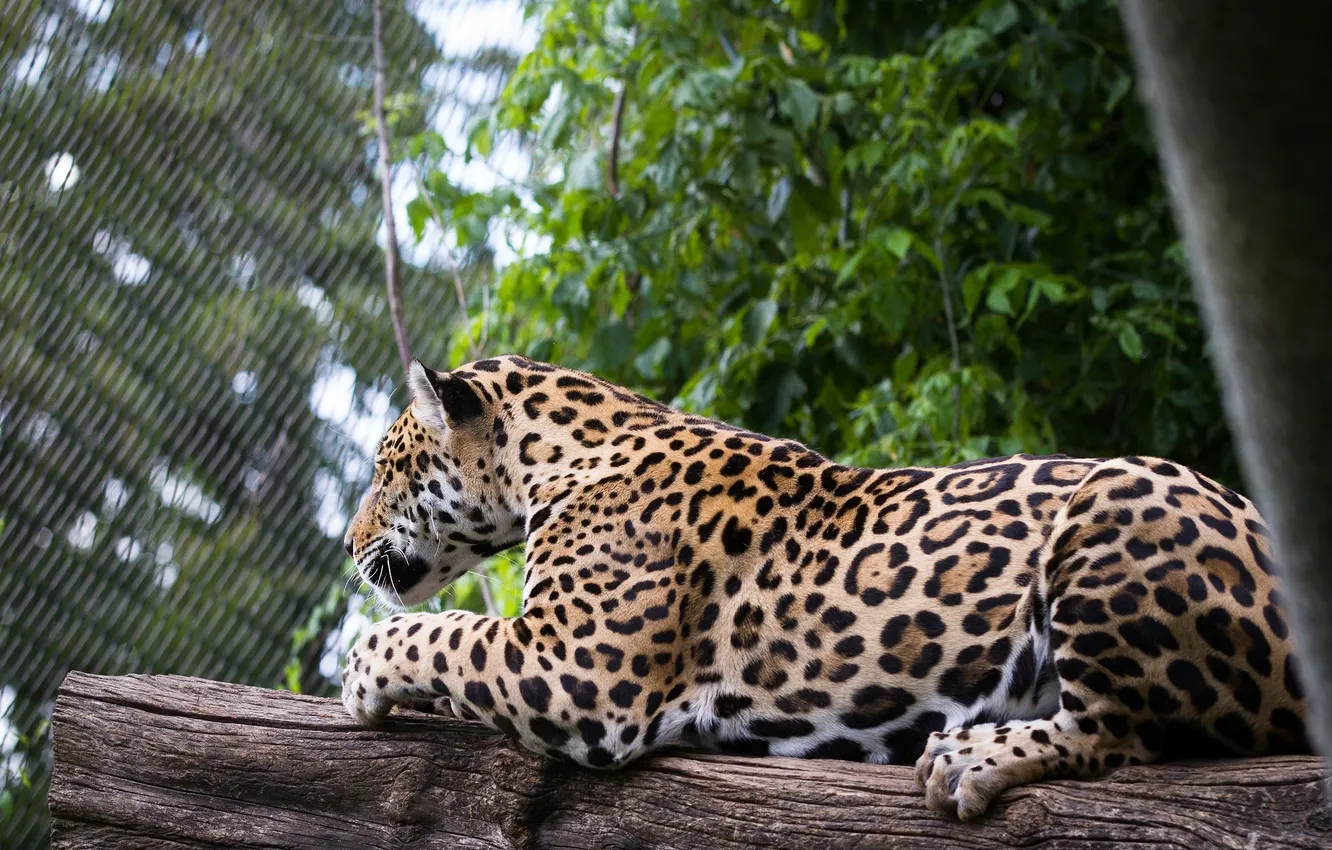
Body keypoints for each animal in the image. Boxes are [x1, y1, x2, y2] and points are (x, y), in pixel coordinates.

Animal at [341, 355, 1308, 820]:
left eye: (386, 470)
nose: (348, 546)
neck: (560, 458)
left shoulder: (577, 670)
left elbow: (445, 631)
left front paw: (361, 671)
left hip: (1117, 494)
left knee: (1127, 729)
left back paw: (972, 756)